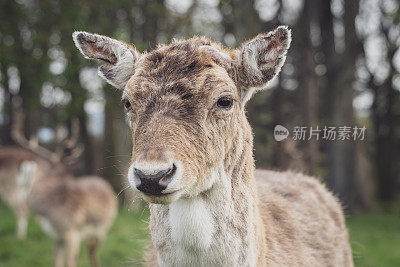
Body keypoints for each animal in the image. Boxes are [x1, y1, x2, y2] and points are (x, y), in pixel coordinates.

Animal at [0, 116, 118, 267]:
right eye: (61, 172)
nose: (70, 180)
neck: (51, 213)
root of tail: (107, 184)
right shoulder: (56, 236)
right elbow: (57, 261)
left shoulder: (72, 232)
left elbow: (71, 262)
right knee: (91, 248)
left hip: (104, 226)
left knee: (93, 248)